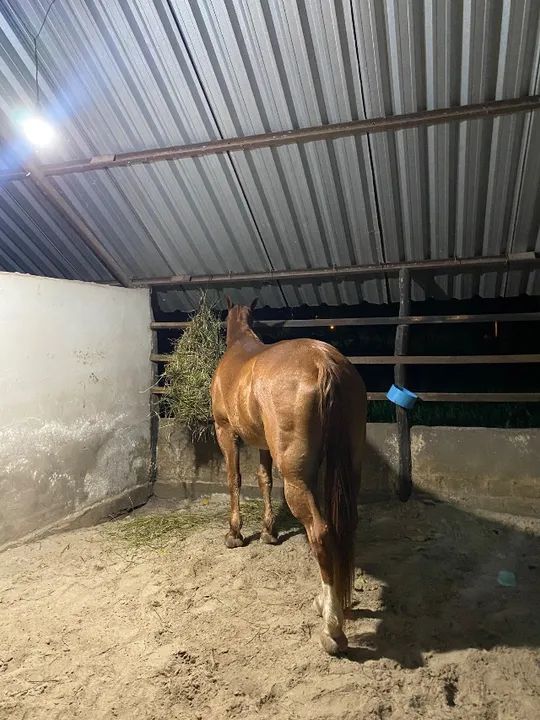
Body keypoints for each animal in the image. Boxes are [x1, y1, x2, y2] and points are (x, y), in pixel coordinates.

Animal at [211, 298, 367, 654]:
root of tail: (324, 362)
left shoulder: (225, 432)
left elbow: (234, 480)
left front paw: (235, 533)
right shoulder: (263, 445)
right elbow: (263, 480)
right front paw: (269, 531)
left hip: (296, 478)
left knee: (320, 533)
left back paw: (332, 629)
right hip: (346, 469)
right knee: (343, 527)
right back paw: (330, 603)